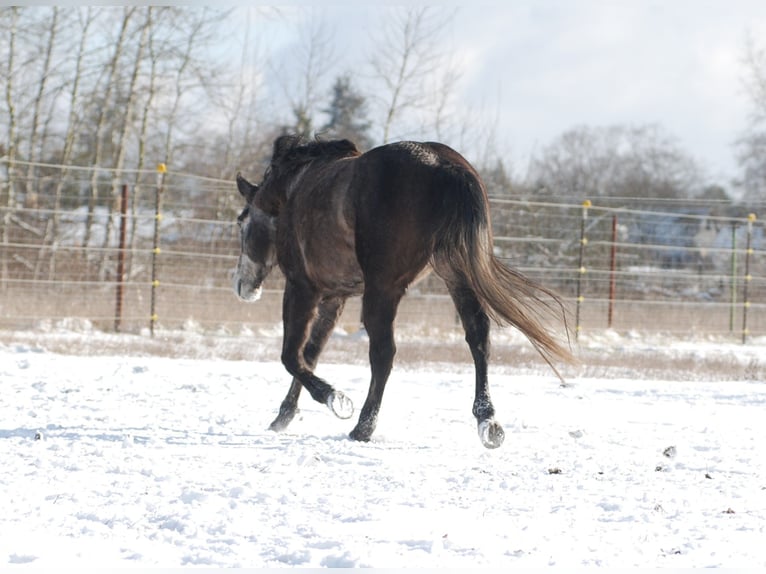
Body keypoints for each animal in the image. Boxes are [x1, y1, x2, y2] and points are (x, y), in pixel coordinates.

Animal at [237, 136, 572, 450]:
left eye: (241, 222)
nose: (242, 286)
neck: (293, 189)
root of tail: (442, 164)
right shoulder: (335, 296)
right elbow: (311, 353)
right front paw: (284, 415)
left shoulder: (302, 287)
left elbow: (291, 355)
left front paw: (336, 399)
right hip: (455, 274)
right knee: (478, 337)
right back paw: (487, 422)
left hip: (383, 290)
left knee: (383, 353)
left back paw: (362, 427)